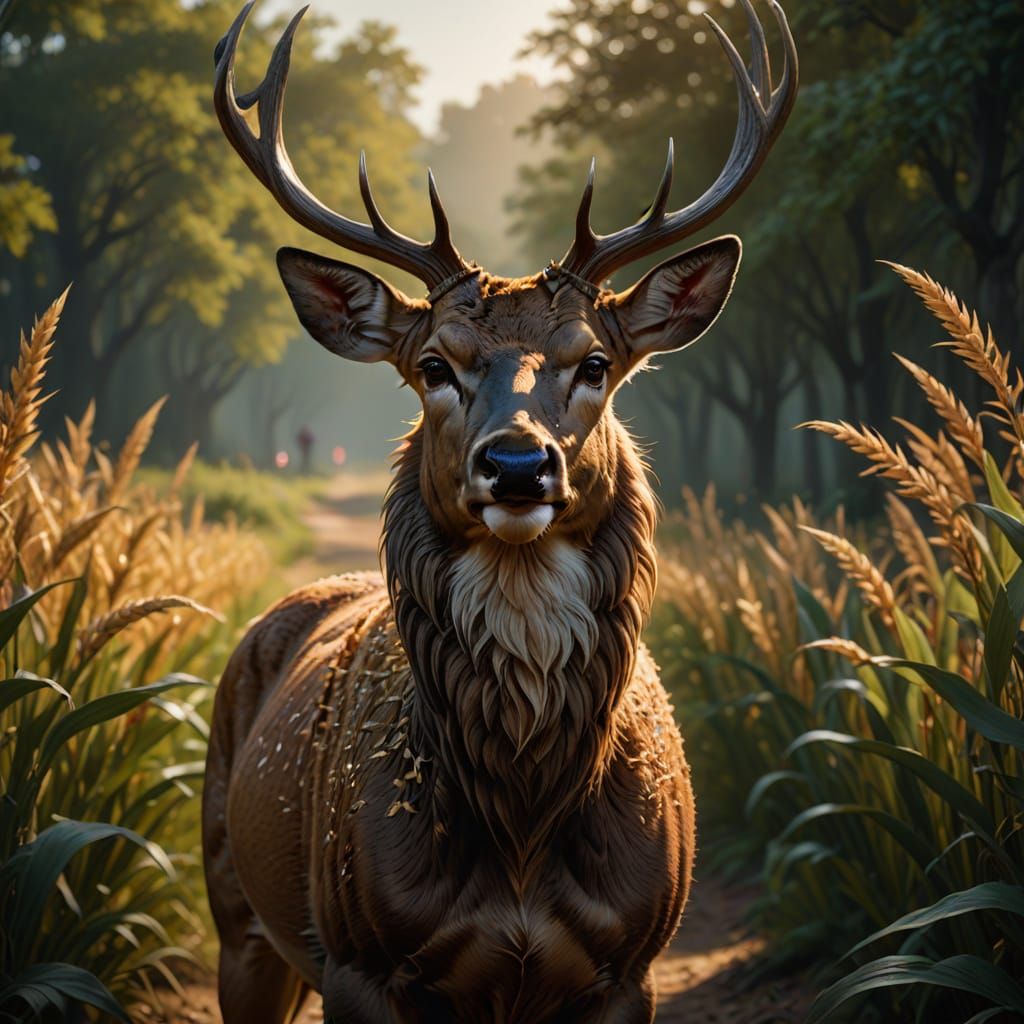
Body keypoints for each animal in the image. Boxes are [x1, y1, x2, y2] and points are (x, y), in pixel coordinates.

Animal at [201, 2, 797, 1021]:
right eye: (434, 364)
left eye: (594, 361)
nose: (518, 463)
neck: (520, 833)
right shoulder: (361, 961)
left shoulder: (632, 965)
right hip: (235, 907)